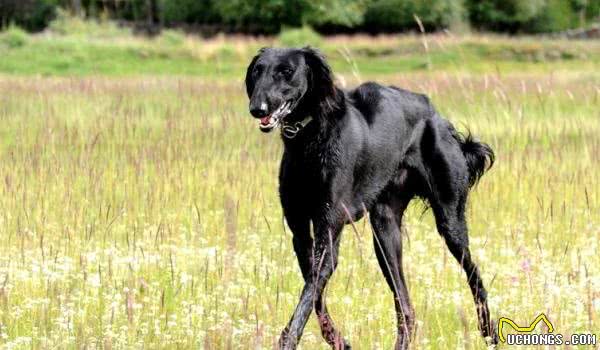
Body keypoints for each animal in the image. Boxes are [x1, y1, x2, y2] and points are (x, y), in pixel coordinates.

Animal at [244, 47, 496, 350]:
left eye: (286, 71)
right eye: (257, 70)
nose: (257, 109)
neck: (311, 136)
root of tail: (436, 114)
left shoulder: (328, 230)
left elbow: (308, 296)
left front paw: (290, 340)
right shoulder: (301, 232)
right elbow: (314, 296)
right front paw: (337, 339)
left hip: (450, 221)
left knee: (473, 275)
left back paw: (488, 329)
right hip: (385, 232)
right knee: (406, 309)